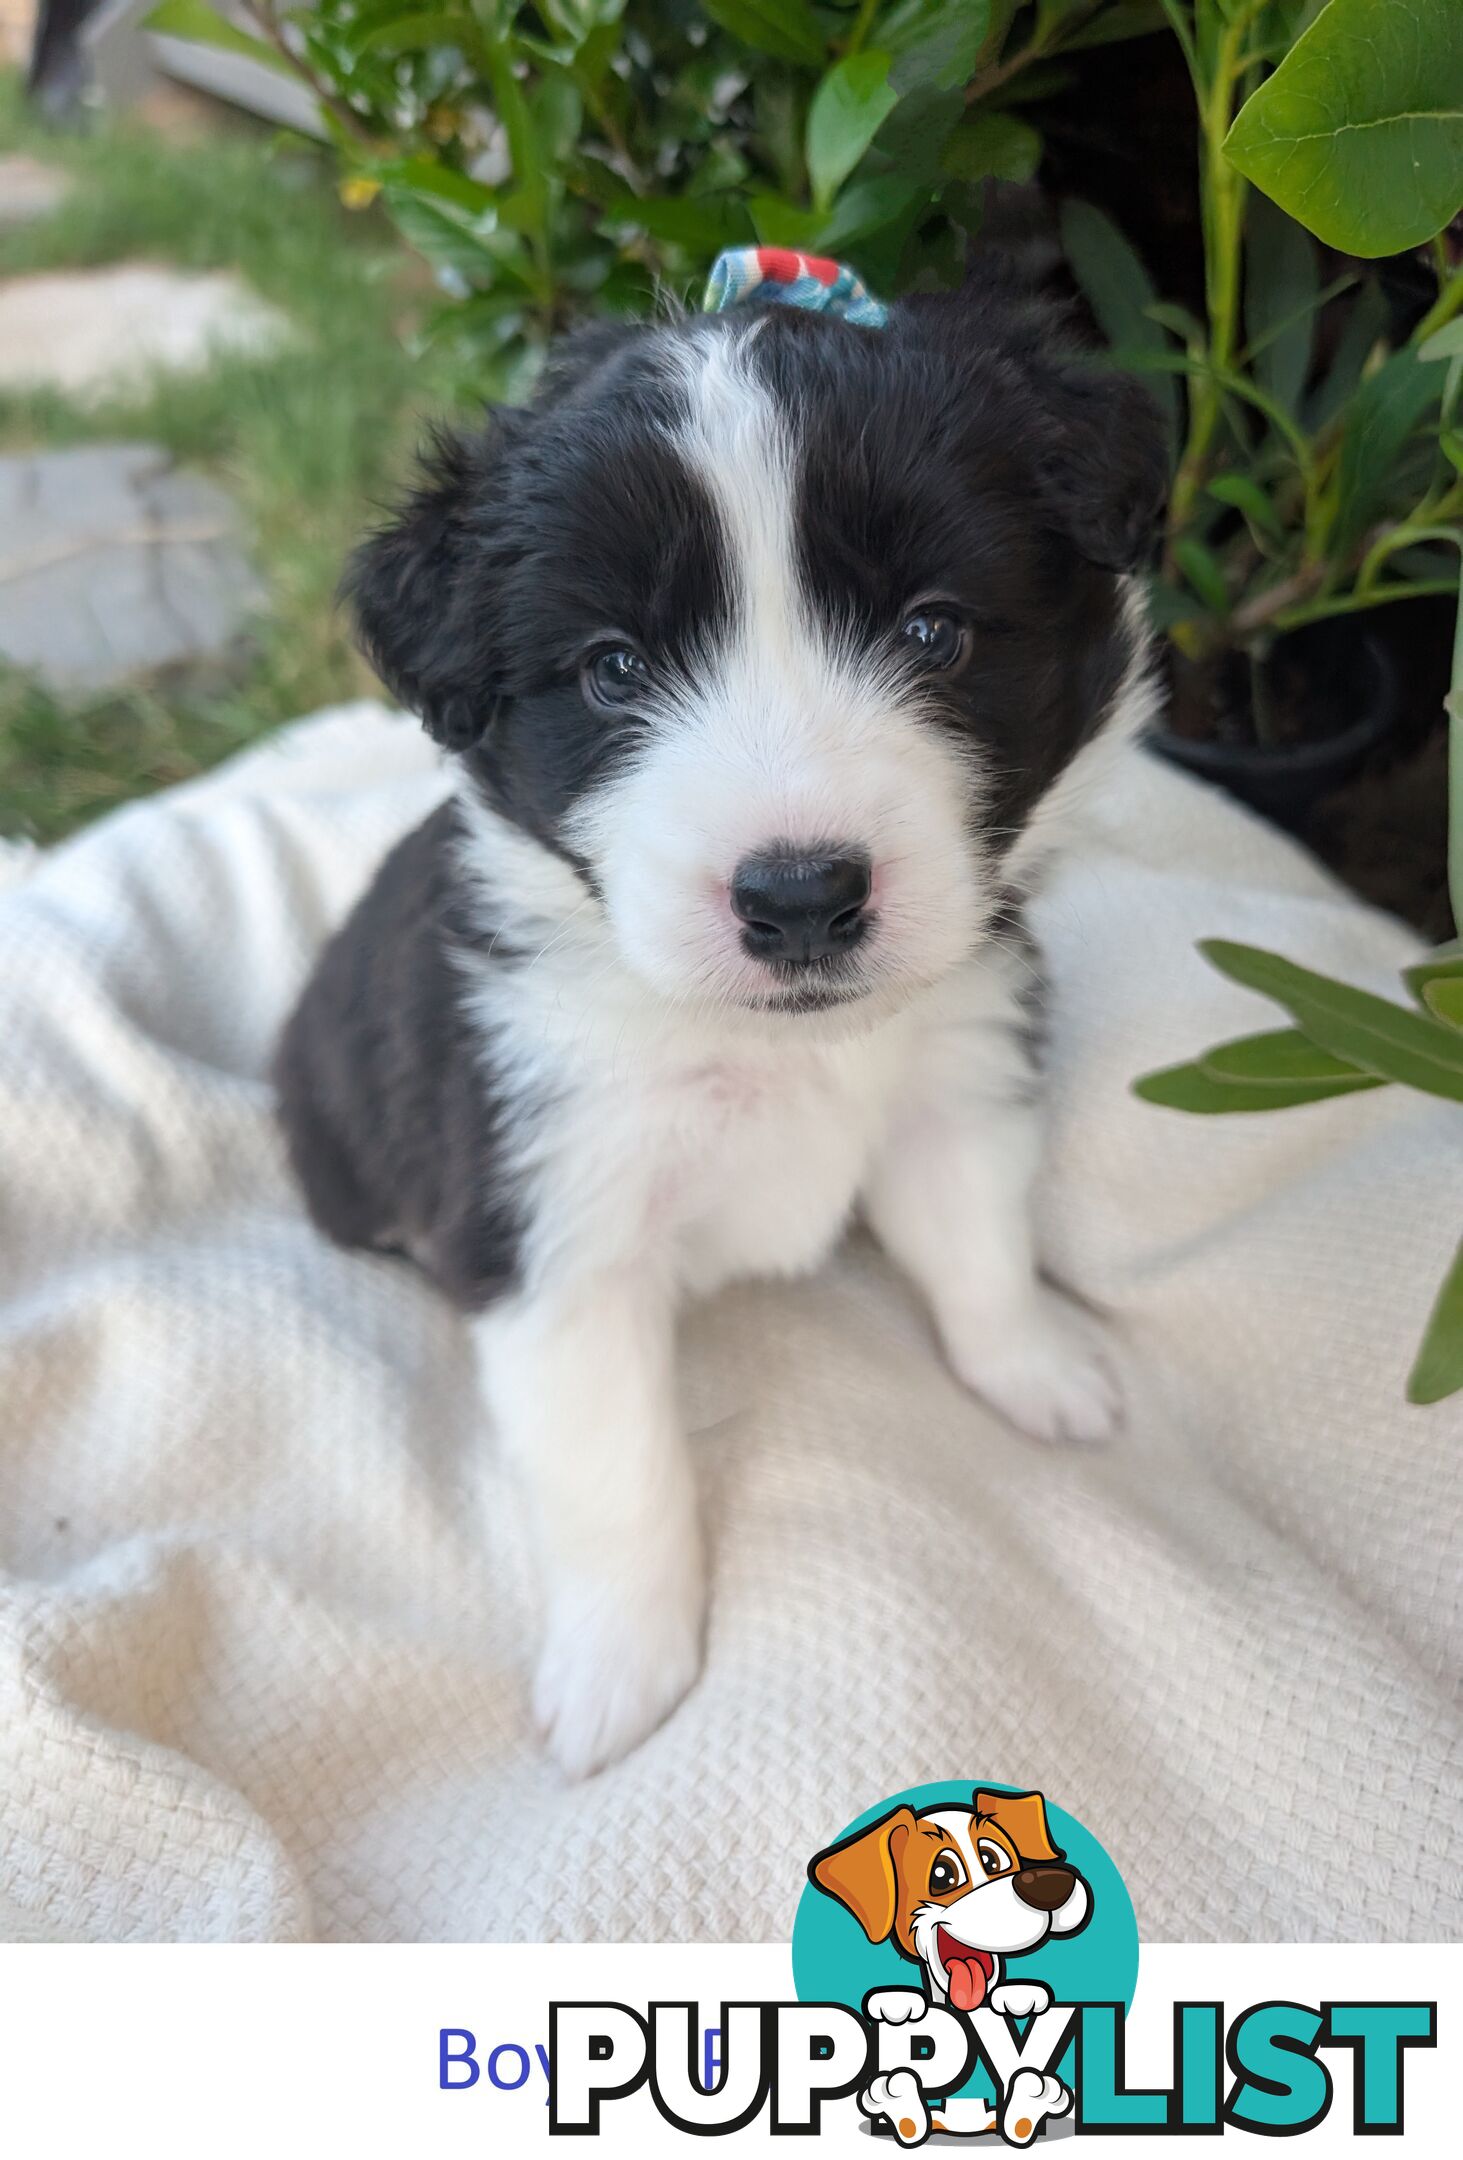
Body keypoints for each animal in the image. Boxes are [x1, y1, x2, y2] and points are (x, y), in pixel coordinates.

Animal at [274, 278, 1166, 1779]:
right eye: (612, 668)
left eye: (932, 630)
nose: (799, 896)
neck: (772, 1046)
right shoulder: (554, 1232)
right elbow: (619, 1474)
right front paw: (620, 1667)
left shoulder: (953, 1080)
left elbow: (978, 1250)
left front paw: (1036, 1367)